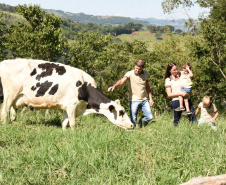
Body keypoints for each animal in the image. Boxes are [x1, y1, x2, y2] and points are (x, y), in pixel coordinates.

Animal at [0, 59, 133, 130]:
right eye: (121, 112)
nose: (132, 125)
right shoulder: (71, 105)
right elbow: (73, 123)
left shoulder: (66, 107)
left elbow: (64, 123)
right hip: (9, 95)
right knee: (4, 112)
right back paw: (5, 126)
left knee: (12, 114)